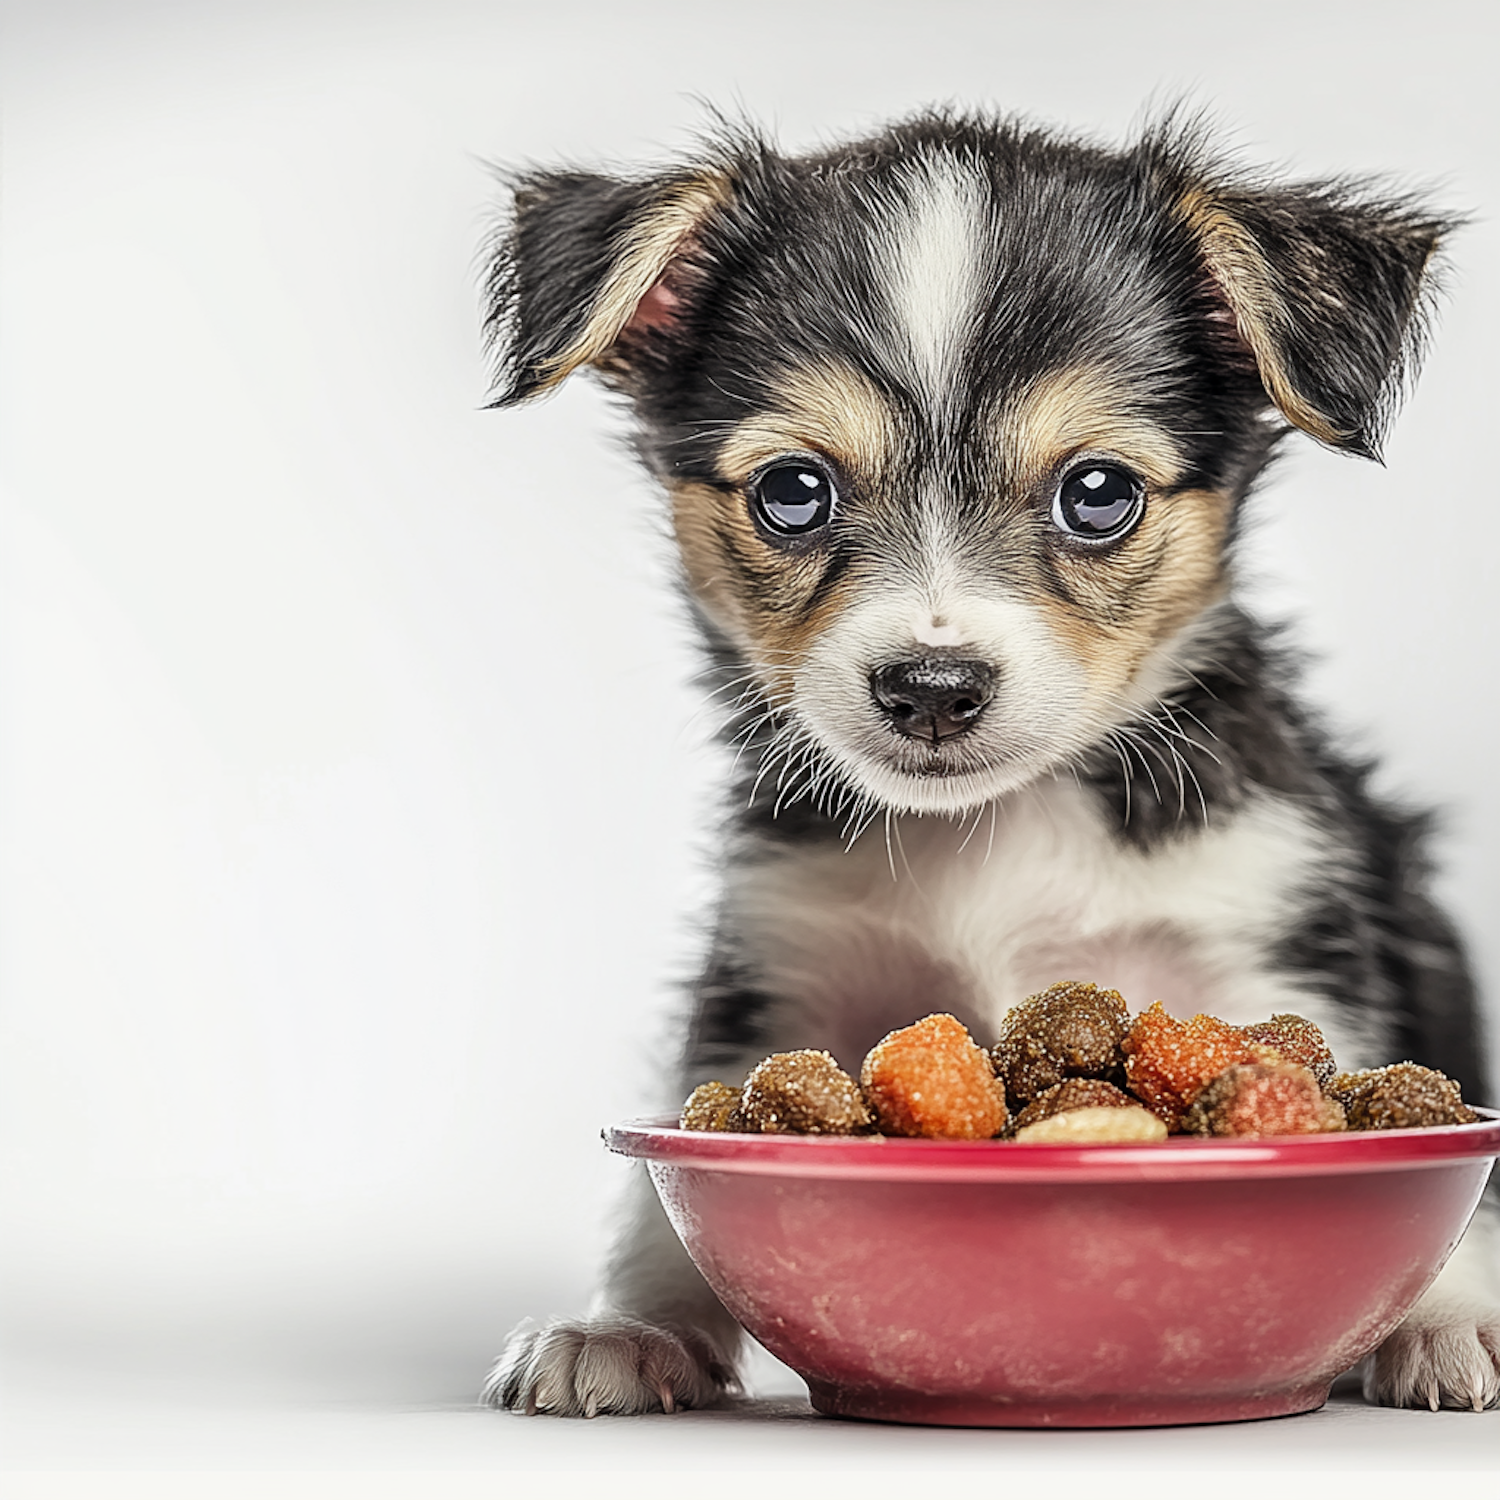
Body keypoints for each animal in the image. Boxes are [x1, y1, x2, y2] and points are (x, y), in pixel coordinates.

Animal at [474, 111, 1494, 1410]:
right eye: (792, 492)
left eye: (1098, 493)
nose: (931, 687)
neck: (999, 825)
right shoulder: (778, 973)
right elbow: (675, 1193)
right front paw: (634, 1326)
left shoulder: (1280, 946)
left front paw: (1450, 1315)